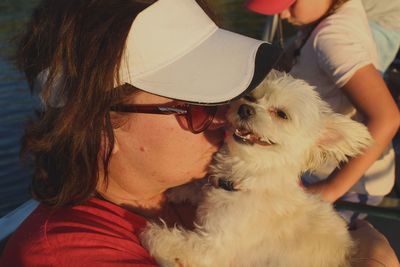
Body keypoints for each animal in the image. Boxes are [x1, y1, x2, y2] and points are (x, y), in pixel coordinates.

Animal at [139, 72, 374, 267]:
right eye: (251, 98)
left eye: (282, 114)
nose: (244, 108)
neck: (250, 180)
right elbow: (200, 188)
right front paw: (180, 190)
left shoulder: (214, 248)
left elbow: (182, 247)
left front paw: (152, 234)